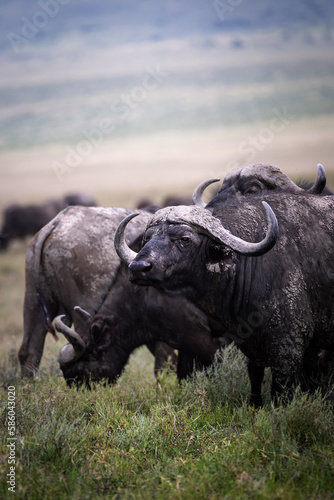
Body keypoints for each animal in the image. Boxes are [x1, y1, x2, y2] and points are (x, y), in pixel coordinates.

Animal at [118, 191, 334, 402]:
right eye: (147, 238)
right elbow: (255, 376)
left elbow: (283, 392)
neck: (252, 264)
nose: (138, 267)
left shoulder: (289, 345)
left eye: (184, 239)